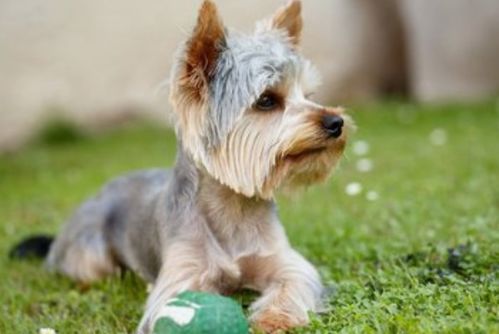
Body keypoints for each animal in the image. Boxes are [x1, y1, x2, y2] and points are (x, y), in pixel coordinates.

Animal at [11, 1, 354, 332]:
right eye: (267, 100)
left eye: (309, 95)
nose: (336, 122)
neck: (234, 208)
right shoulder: (182, 274)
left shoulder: (281, 260)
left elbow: (294, 280)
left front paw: (275, 318)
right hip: (89, 251)